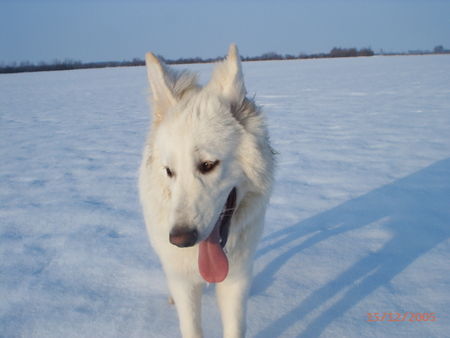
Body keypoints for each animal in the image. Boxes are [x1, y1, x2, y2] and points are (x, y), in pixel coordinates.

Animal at [140, 45, 274, 338]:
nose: (180, 239)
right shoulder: (184, 283)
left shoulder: (235, 280)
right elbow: (191, 327)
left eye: (208, 165)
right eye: (170, 171)